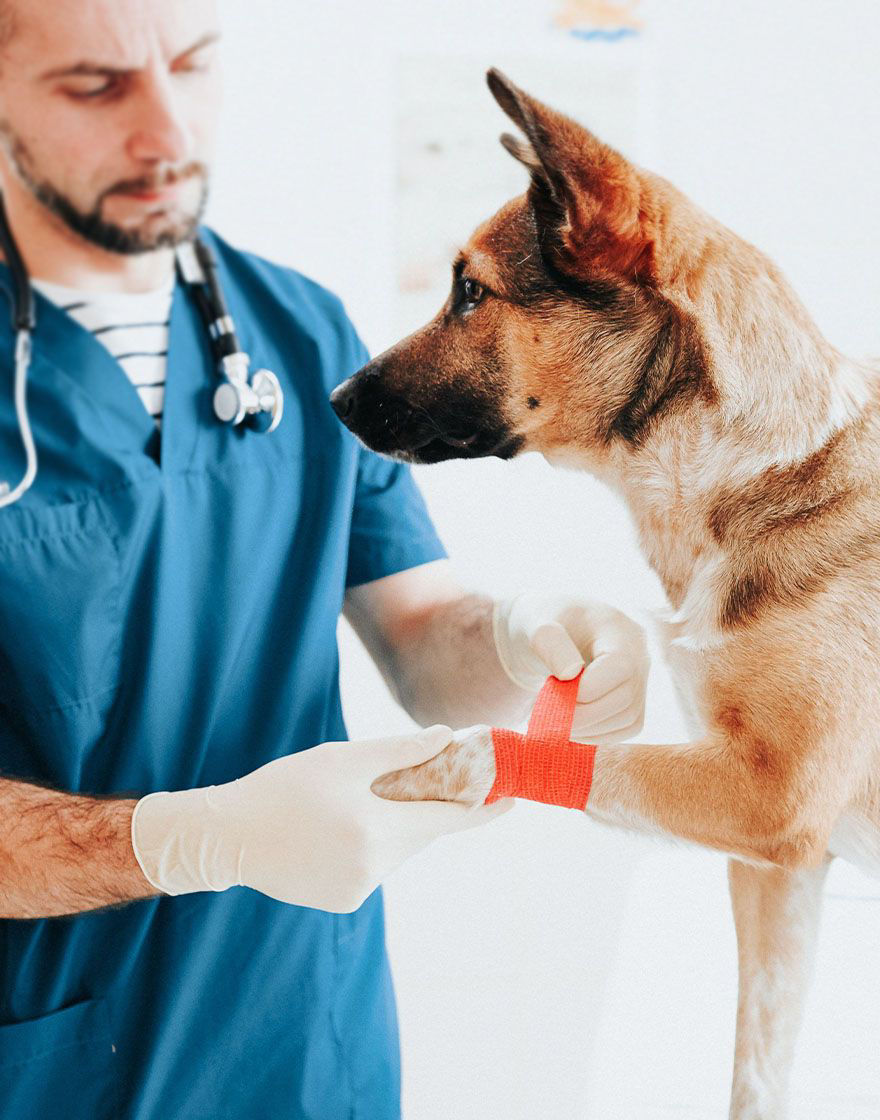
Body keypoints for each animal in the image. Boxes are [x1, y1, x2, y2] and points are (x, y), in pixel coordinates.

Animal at [329, 70, 877, 1120]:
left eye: (470, 291)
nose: (333, 398)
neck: (753, 473)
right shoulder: (783, 871)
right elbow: (758, 1068)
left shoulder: (772, 802)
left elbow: (576, 763)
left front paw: (449, 766)